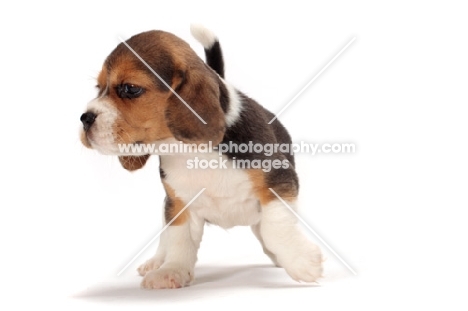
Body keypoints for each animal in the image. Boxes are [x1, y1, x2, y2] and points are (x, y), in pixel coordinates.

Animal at [80, 24, 322, 290]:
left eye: (130, 89)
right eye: (98, 88)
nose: (85, 118)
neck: (190, 151)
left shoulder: (278, 180)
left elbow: (275, 227)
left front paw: (301, 261)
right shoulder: (178, 204)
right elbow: (178, 239)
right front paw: (172, 270)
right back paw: (157, 261)